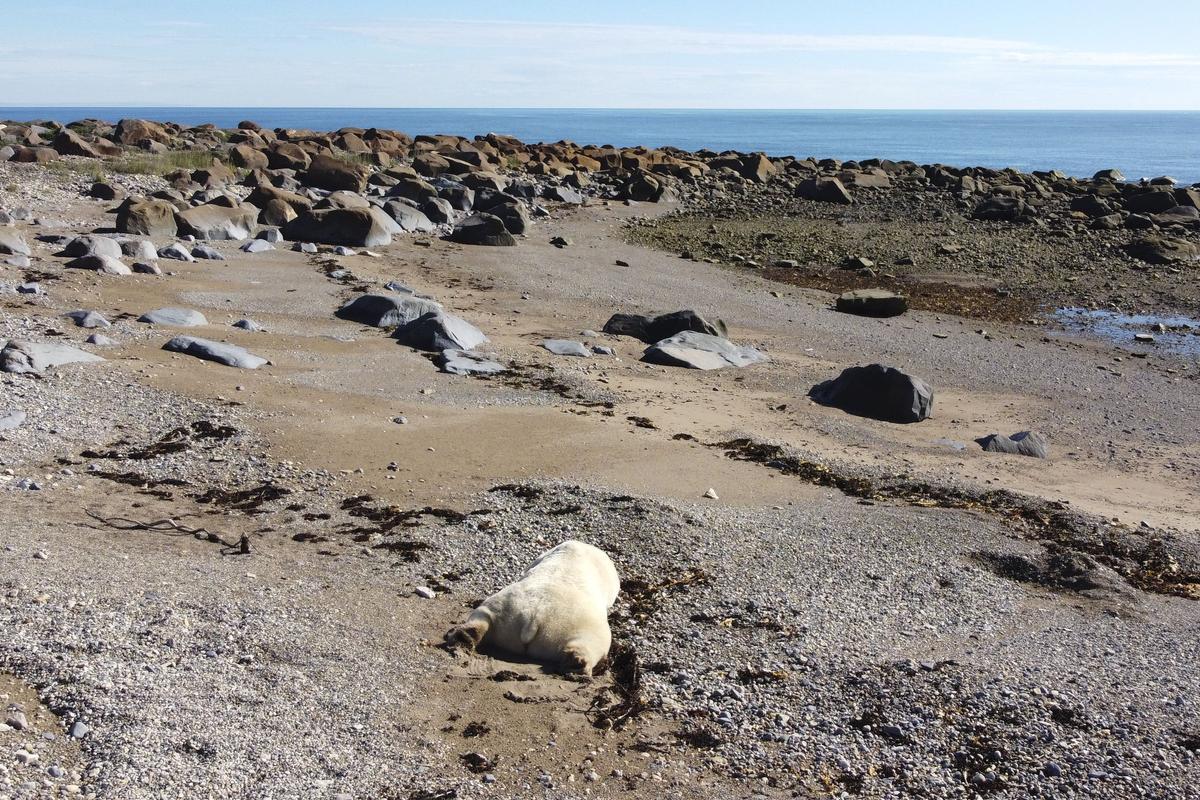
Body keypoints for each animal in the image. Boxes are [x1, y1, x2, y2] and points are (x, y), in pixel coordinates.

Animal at [446, 537, 624, 676]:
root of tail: (534, 617)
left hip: (505, 608)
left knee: (485, 615)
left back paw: (465, 636)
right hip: (579, 624)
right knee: (593, 641)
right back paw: (577, 664)